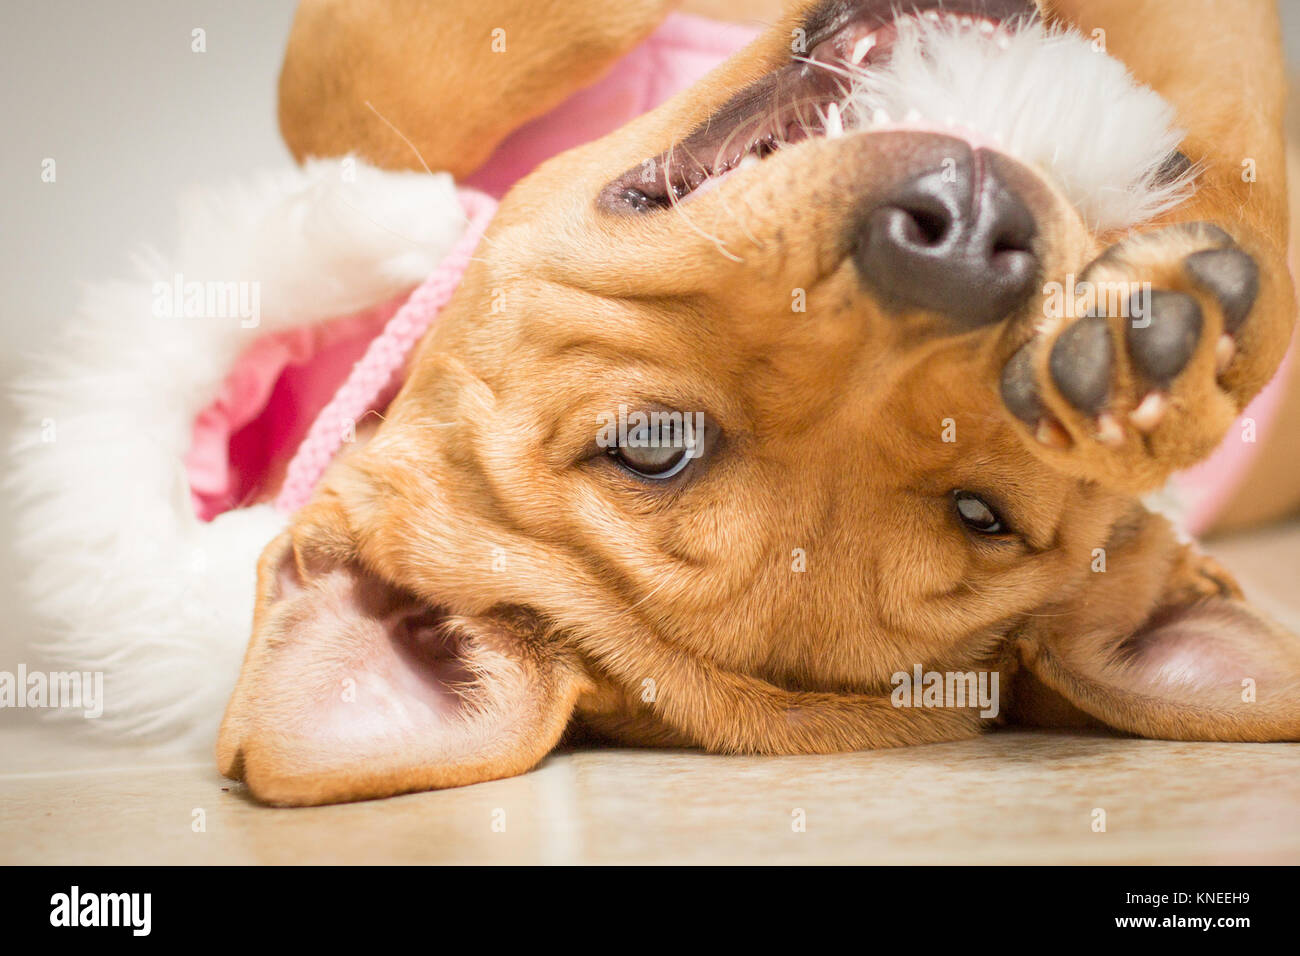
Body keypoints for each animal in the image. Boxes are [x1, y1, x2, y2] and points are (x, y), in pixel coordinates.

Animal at [218, 1, 1294, 806]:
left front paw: (1158, 348)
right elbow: (391, 80)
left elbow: (1257, 230)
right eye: (653, 444)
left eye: (981, 513)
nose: (961, 236)